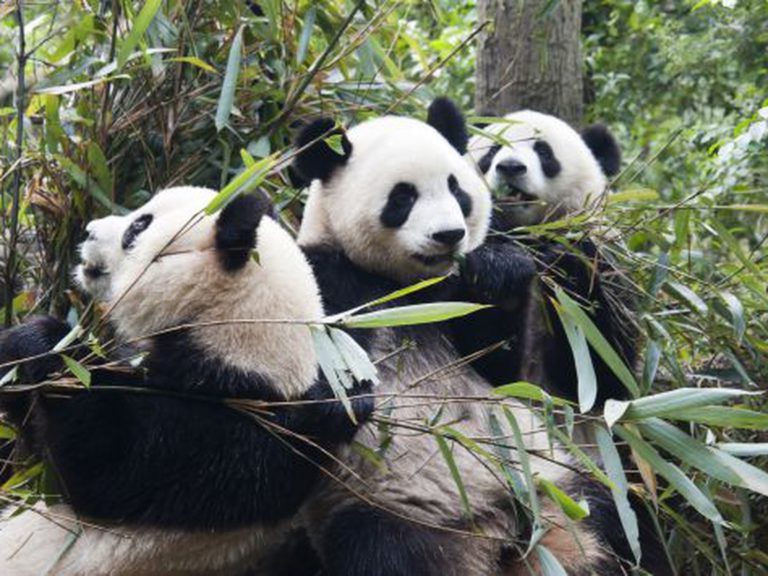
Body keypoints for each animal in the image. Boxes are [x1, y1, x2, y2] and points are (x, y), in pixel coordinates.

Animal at [460, 109, 640, 404]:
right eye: (492, 150)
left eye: (544, 152)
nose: (510, 167)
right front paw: (499, 273)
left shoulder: (609, 268)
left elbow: (605, 375)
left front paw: (563, 262)